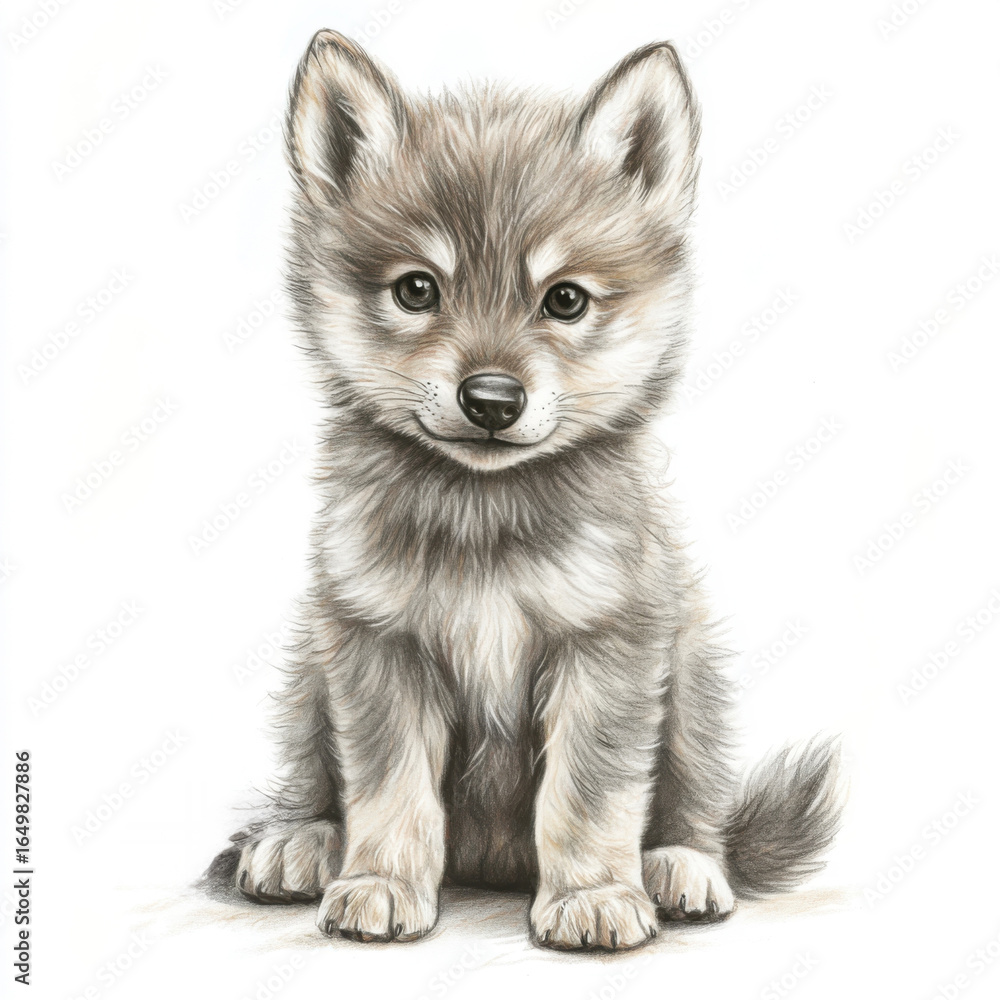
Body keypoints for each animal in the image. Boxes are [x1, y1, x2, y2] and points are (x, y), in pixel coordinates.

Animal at [206, 30, 842, 952]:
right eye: (417, 289)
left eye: (565, 300)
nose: (492, 399)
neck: (484, 512)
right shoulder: (376, 641)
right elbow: (390, 789)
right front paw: (379, 882)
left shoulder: (610, 644)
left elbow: (590, 794)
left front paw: (593, 895)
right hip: (310, 670)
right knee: (314, 776)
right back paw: (301, 840)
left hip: (689, 668)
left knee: (694, 803)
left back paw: (680, 866)